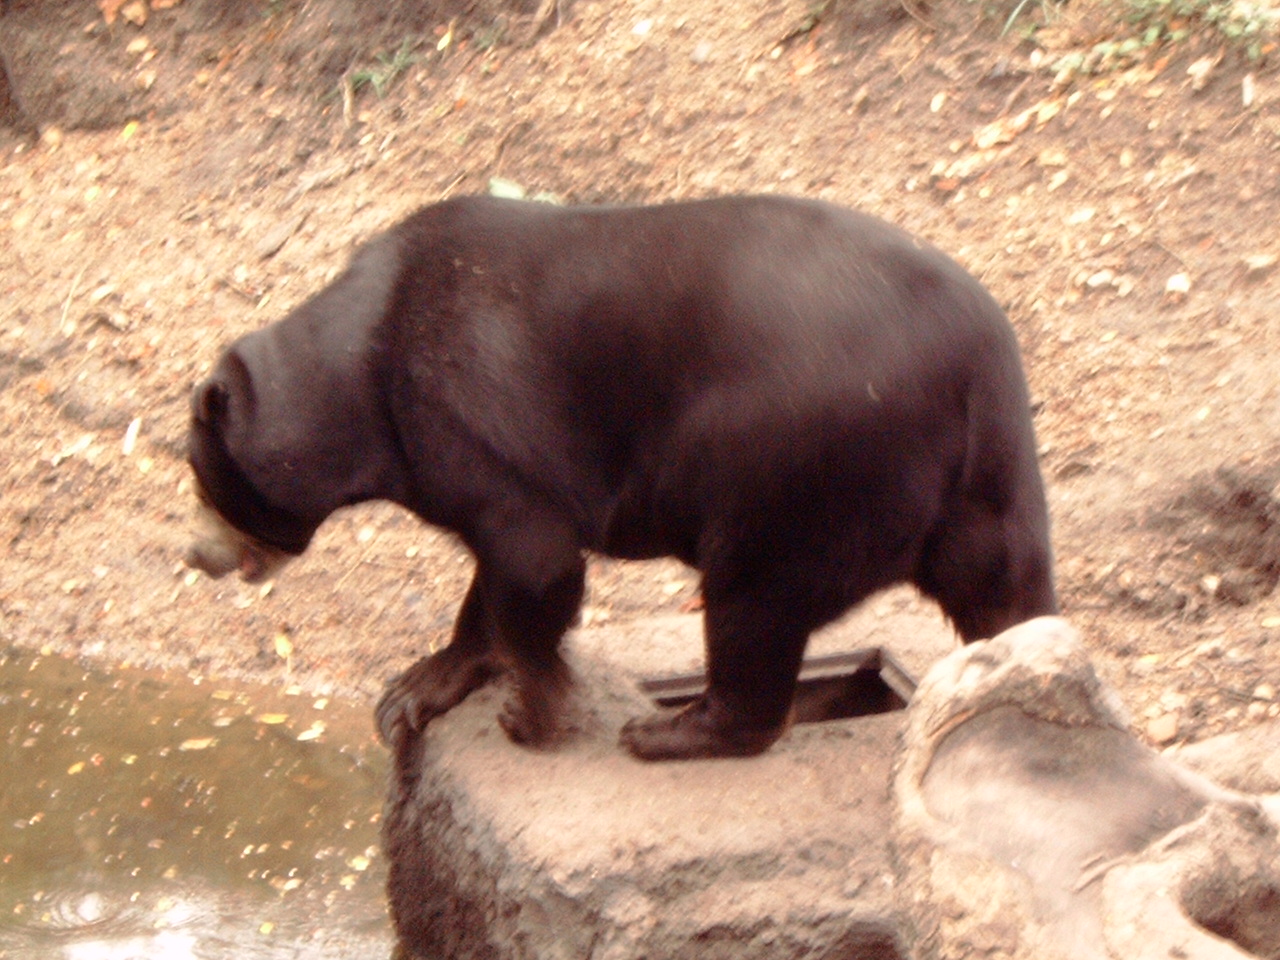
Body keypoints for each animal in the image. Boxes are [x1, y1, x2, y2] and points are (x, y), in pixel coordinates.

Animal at [185, 194, 1056, 761]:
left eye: (204, 488)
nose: (197, 557)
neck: (361, 371)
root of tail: (973, 357)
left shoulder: (468, 413)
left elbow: (532, 561)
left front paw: (533, 716)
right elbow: (492, 580)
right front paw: (415, 689)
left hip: (798, 466)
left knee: (753, 599)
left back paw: (669, 730)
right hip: (986, 480)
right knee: (1004, 588)